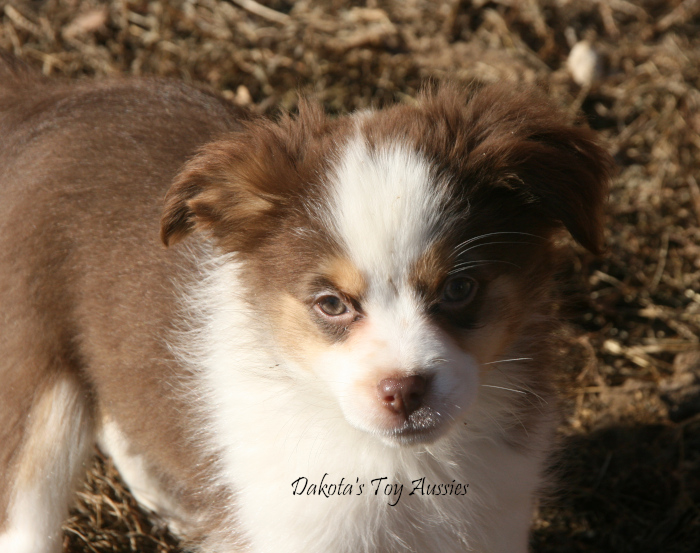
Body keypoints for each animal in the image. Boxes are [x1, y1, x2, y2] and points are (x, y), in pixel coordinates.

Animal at [0, 56, 612, 552]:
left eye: (459, 288)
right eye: (331, 304)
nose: (404, 391)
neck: (397, 468)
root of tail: (48, 98)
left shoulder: (491, 516)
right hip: (37, 379)